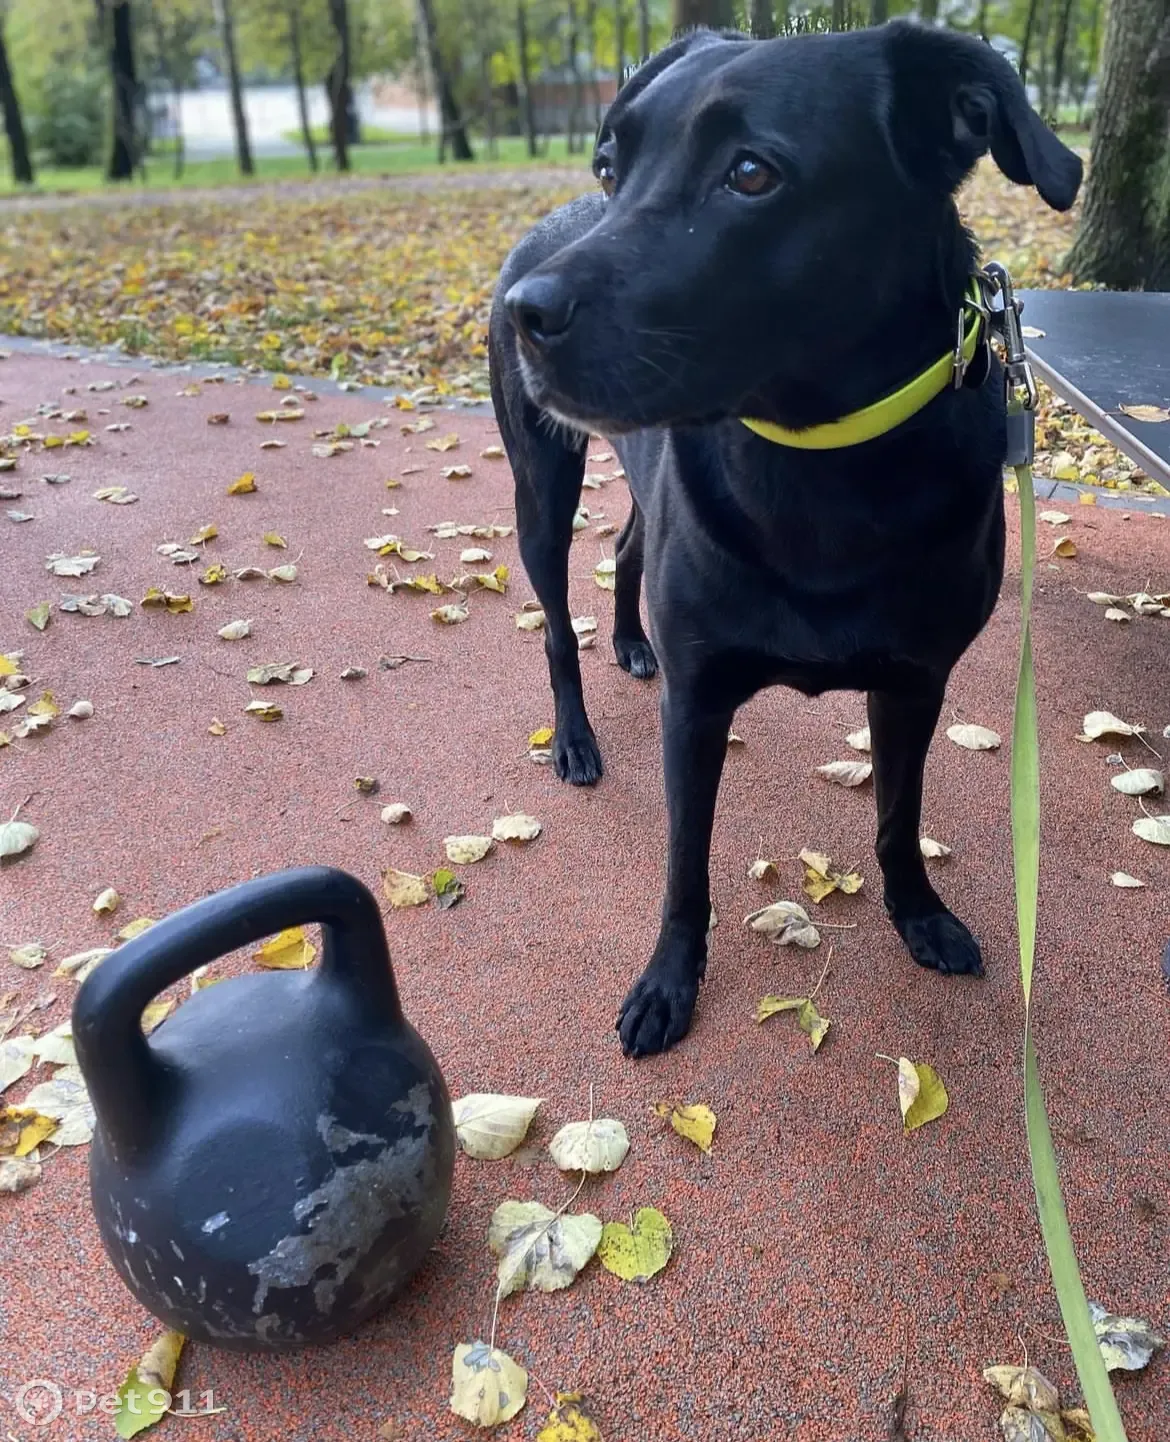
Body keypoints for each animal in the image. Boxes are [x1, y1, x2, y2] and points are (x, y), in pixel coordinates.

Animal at [487, 22, 1079, 1061]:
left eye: (752, 174)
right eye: (610, 166)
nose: (525, 311)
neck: (822, 470)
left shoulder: (915, 683)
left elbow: (897, 816)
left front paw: (919, 913)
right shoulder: (698, 703)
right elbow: (686, 865)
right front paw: (669, 982)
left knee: (630, 546)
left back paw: (629, 641)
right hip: (540, 488)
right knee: (556, 623)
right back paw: (575, 738)